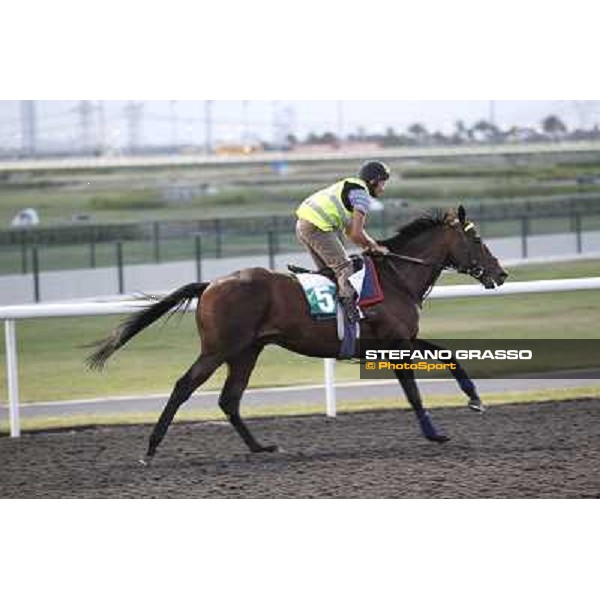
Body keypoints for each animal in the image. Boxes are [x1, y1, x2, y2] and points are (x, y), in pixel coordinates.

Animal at [85, 204, 506, 462]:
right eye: (477, 240)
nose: (501, 274)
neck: (396, 277)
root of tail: (211, 284)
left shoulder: (401, 340)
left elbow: (448, 354)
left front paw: (474, 399)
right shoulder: (395, 344)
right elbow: (414, 393)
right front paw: (435, 433)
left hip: (246, 351)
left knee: (230, 399)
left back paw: (260, 447)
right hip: (218, 349)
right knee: (183, 387)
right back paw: (151, 448)